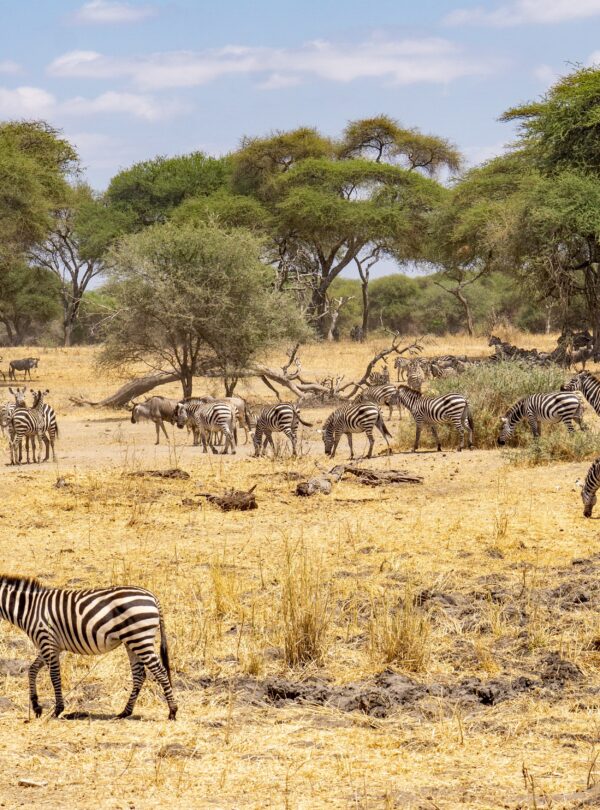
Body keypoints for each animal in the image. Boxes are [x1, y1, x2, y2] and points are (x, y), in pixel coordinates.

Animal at [0, 575, 177, 720]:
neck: (29, 608)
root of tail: (152, 597)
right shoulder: (51, 645)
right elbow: (32, 670)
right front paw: (37, 707)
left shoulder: (46, 640)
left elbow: (54, 676)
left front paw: (57, 710)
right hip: (132, 641)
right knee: (140, 674)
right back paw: (125, 712)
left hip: (140, 639)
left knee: (160, 671)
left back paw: (172, 711)